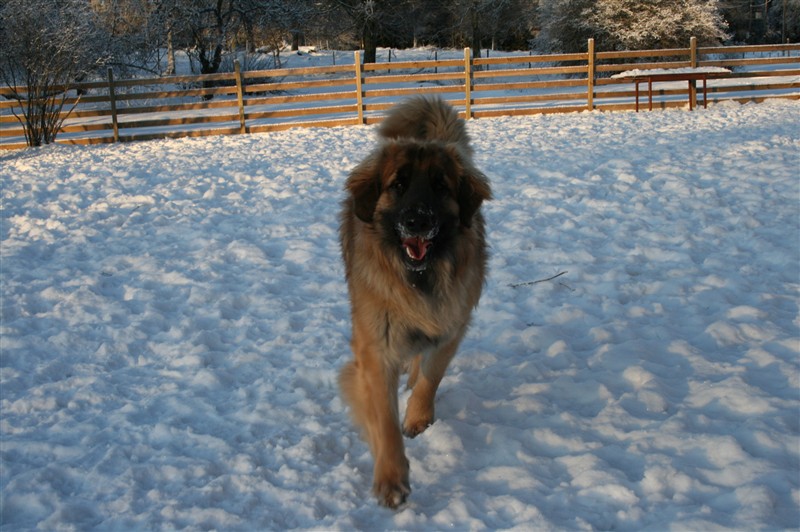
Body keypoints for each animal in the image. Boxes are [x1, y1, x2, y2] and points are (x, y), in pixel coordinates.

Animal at [336, 95, 488, 508]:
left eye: (440, 186)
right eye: (398, 185)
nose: (418, 221)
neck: (418, 279)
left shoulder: (452, 324)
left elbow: (431, 377)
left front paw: (418, 417)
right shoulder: (375, 349)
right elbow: (384, 421)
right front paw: (391, 479)